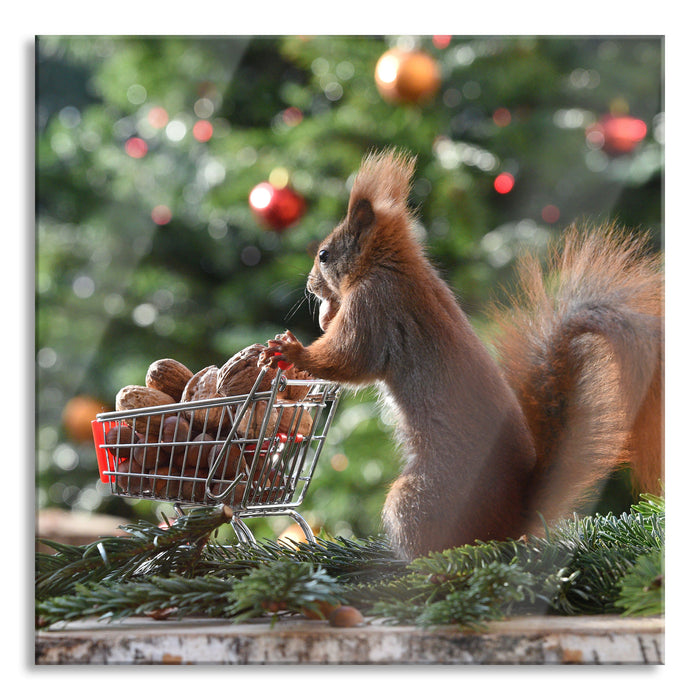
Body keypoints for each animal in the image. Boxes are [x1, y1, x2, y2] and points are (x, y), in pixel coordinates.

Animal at [262, 150, 660, 560]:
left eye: (324, 255)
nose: (310, 286)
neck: (391, 265)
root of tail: (513, 520)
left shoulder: (375, 306)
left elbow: (349, 359)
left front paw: (292, 350)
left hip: (415, 500)